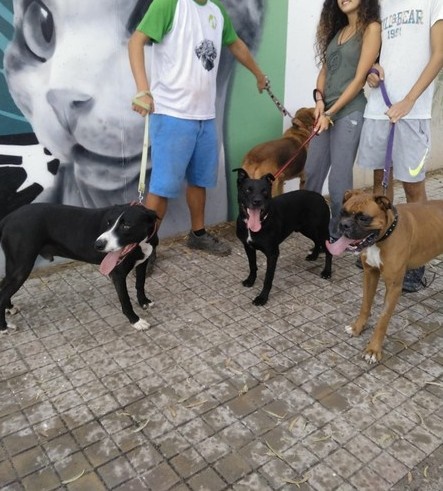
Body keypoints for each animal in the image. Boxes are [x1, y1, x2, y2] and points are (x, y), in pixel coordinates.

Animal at [0, 203, 158, 332]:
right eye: (108, 223)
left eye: (126, 226)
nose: (97, 244)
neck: (141, 244)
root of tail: (8, 218)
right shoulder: (117, 274)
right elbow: (125, 300)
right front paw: (135, 321)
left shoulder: (143, 263)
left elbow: (140, 284)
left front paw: (143, 301)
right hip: (21, 269)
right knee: (3, 294)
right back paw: (4, 327)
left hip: (14, 267)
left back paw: (10, 308)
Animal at [234, 168, 332, 305]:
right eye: (248, 190)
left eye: (264, 191)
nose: (257, 201)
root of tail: (320, 196)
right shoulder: (248, 247)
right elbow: (252, 266)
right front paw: (250, 281)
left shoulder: (272, 254)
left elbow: (268, 278)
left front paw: (262, 298)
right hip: (307, 229)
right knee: (316, 241)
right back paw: (314, 255)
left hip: (321, 230)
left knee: (328, 250)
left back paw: (327, 272)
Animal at [327, 190, 443, 363]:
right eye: (343, 213)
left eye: (364, 218)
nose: (344, 225)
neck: (385, 235)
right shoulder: (370, 274)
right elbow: (365, 305)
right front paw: (357, 328)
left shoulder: (394, 287)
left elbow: (383, 319)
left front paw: (373, 349)